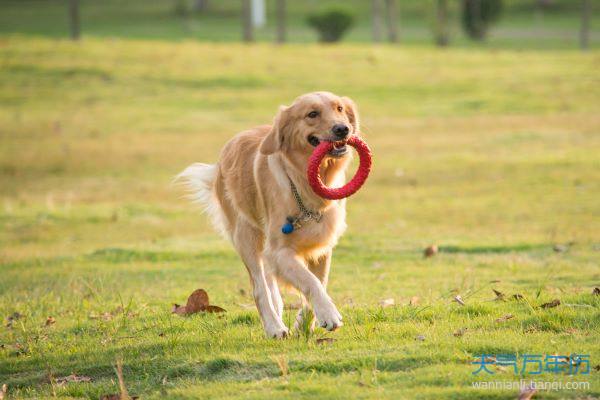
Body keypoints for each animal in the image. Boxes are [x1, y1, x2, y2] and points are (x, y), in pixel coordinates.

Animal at [179, 91, 360, 338]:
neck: (304, 184)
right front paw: (329, 314)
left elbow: (319, 281)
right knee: (259, 288)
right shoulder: (279, 251)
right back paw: (274, 326)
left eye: (340, 109)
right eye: (312, 114)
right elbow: (310, 282)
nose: (343, 129)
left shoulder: (321, 247)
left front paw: (305, 324)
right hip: (246, 236)